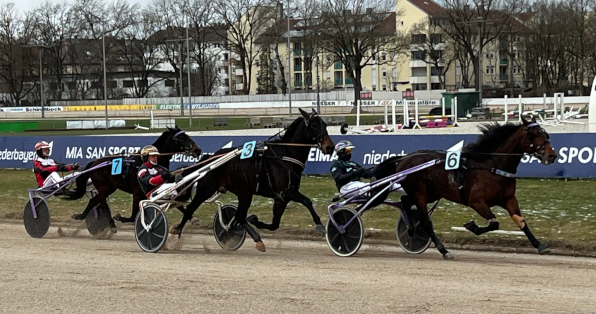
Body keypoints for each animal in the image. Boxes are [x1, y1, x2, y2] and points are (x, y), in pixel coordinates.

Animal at [68, 126, 201, 232]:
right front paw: (121, 218)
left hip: (108, 188)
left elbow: (176, 204)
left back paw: (110, 224)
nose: (197, 150)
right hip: (105, 187)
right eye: (181, 138)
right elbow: (132, 216)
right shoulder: (137, 193)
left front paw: (193, 219)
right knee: (95, 201)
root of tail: (95, 162)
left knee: (100, 202)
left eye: (187, 135)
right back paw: (85, 217)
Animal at [172, 109, 336, 251]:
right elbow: (307, 201)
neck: (285, 155)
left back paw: (253, 237)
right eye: (314, 125)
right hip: (209, 189)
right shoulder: (287, 191)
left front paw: (255, 220)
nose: (330, 147)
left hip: (244, 192)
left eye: (325, 124)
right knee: (191, 207)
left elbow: (275, 224)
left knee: (239, 216)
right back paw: (178, 229)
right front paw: (320, 225)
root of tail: (210, 158)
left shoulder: (281, 198)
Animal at [372, 118, 560, 260]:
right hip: (420, 193)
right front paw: (472, 226)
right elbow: (494, 223)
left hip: (429, 193)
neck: (492, 166)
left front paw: (539, 245)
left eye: (545, 134)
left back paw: (411, 228)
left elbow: (521, 222)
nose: (552, 155)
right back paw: (443, 250)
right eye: (533, 134)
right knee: (424, 221)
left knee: (405, 202)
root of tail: (403, 159)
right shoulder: (476, 201)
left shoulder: (508, 199)